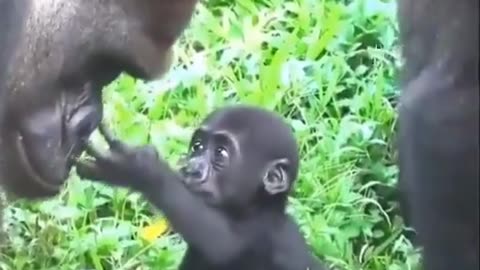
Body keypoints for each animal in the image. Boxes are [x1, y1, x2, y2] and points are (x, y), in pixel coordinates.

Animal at [78, 105, 326, 270]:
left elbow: (223, 244)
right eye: (197, 147)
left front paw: (137, 168)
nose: (192, 168)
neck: (257, 208)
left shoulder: (261, 233)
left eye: (220, 153)